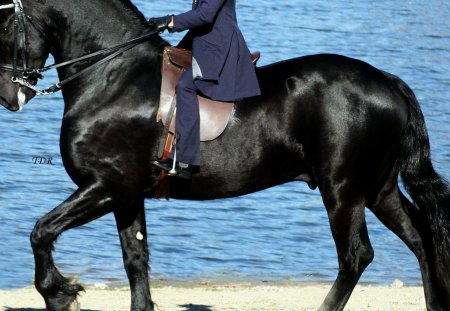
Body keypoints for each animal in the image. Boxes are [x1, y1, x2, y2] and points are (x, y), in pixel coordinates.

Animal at [0, 0, 448, 311]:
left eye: (3, 25)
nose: (8, 97)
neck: (113, 78)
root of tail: (387, 81)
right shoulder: (127, 195)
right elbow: (135, 259)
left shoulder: (105, 186)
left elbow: (41, 231)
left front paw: (59, 294)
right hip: (378, 189)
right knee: (421, 238)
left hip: (343, 191)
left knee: (356, 255)